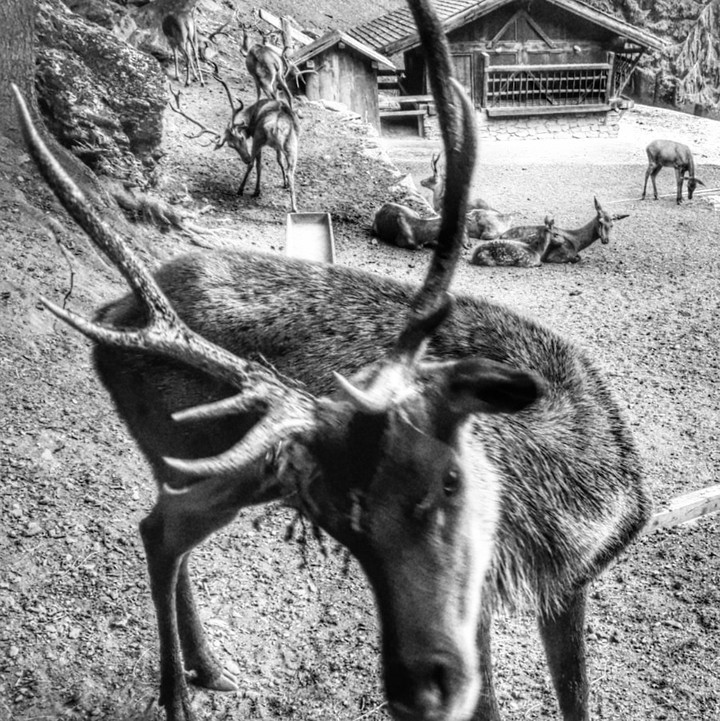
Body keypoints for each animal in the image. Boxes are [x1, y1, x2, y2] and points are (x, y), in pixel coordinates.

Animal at [13, 0, 651, 718]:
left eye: (451, 481)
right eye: (346, 524)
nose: (418, 683)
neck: (575, 502)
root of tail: (112, 318)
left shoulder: (567, 583)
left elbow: (576, 696)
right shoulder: (486, 595)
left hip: (185, 458)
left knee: (162, 530)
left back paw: (208, 668)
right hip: (211, 455)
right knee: (160, 531)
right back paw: (180, 690)